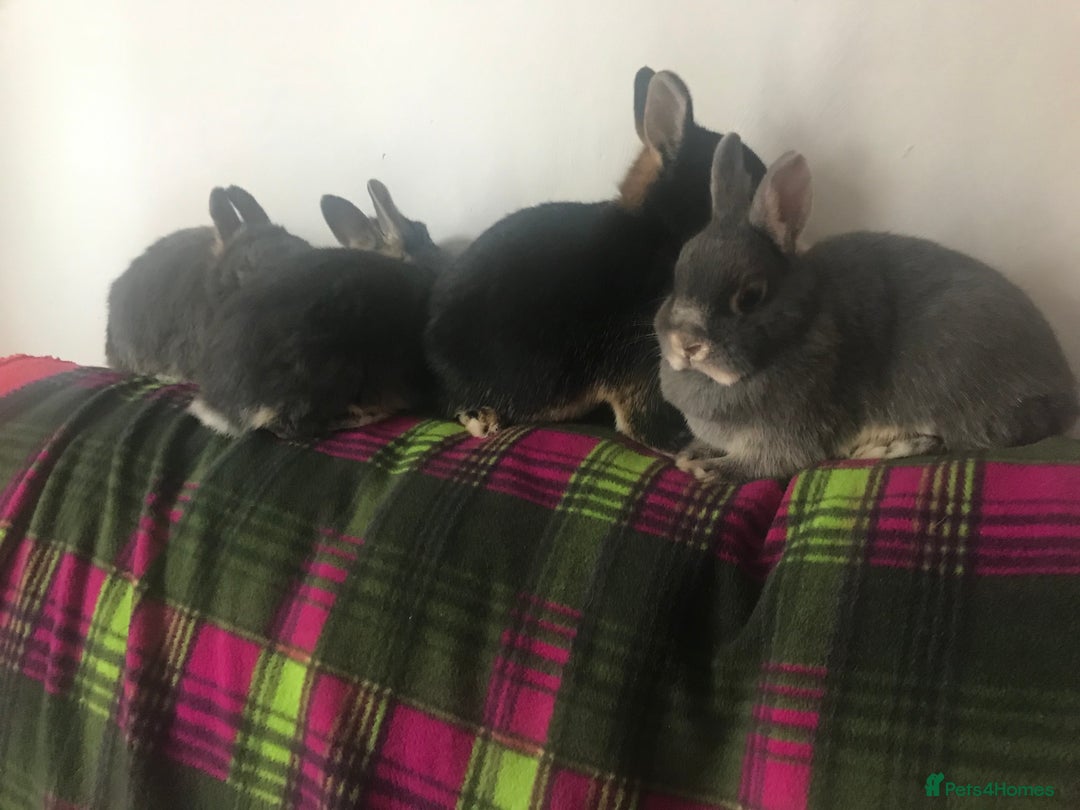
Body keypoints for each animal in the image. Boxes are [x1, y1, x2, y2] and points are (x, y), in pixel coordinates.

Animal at [654, 132, 1079, 482]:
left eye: (750, 296)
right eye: (676, 275)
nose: (686, 344)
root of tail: (1064, 395)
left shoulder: (790, 435)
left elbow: (768, 463)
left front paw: (711, 469)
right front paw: (692, 452)